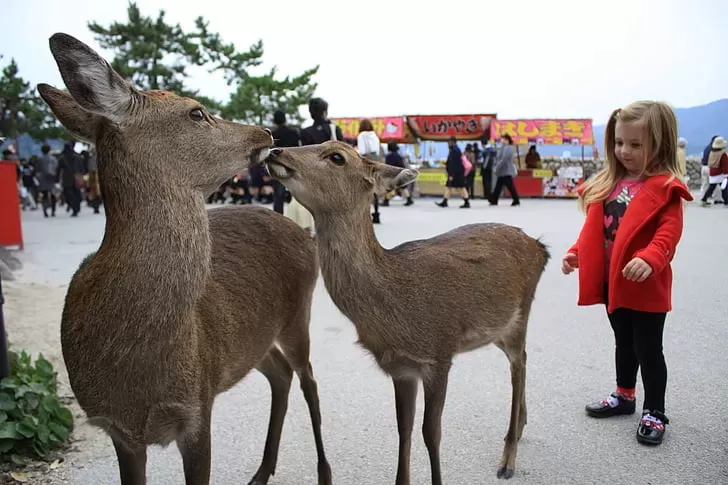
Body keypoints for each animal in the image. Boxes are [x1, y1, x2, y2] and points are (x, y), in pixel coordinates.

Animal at [39, 34, 332, 484]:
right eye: (197, 112)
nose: (265, 131)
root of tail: (304, 233)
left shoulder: (198, 408)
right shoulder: (120, 429)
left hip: (299, 312)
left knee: (309, 379)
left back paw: (323, 471)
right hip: (251, 338)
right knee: (281, 374)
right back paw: (262, 471)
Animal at [264, 139, 548, 480]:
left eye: (337, 156)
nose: (275, 151)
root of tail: (541, 247)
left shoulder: (439, 354)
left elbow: (432, 433)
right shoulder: (401, 368)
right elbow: (404, 429)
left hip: (522, 312)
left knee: (518, 365)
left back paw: (508, 459)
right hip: (499, 329)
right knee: (521, 360)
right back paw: (520, 427)